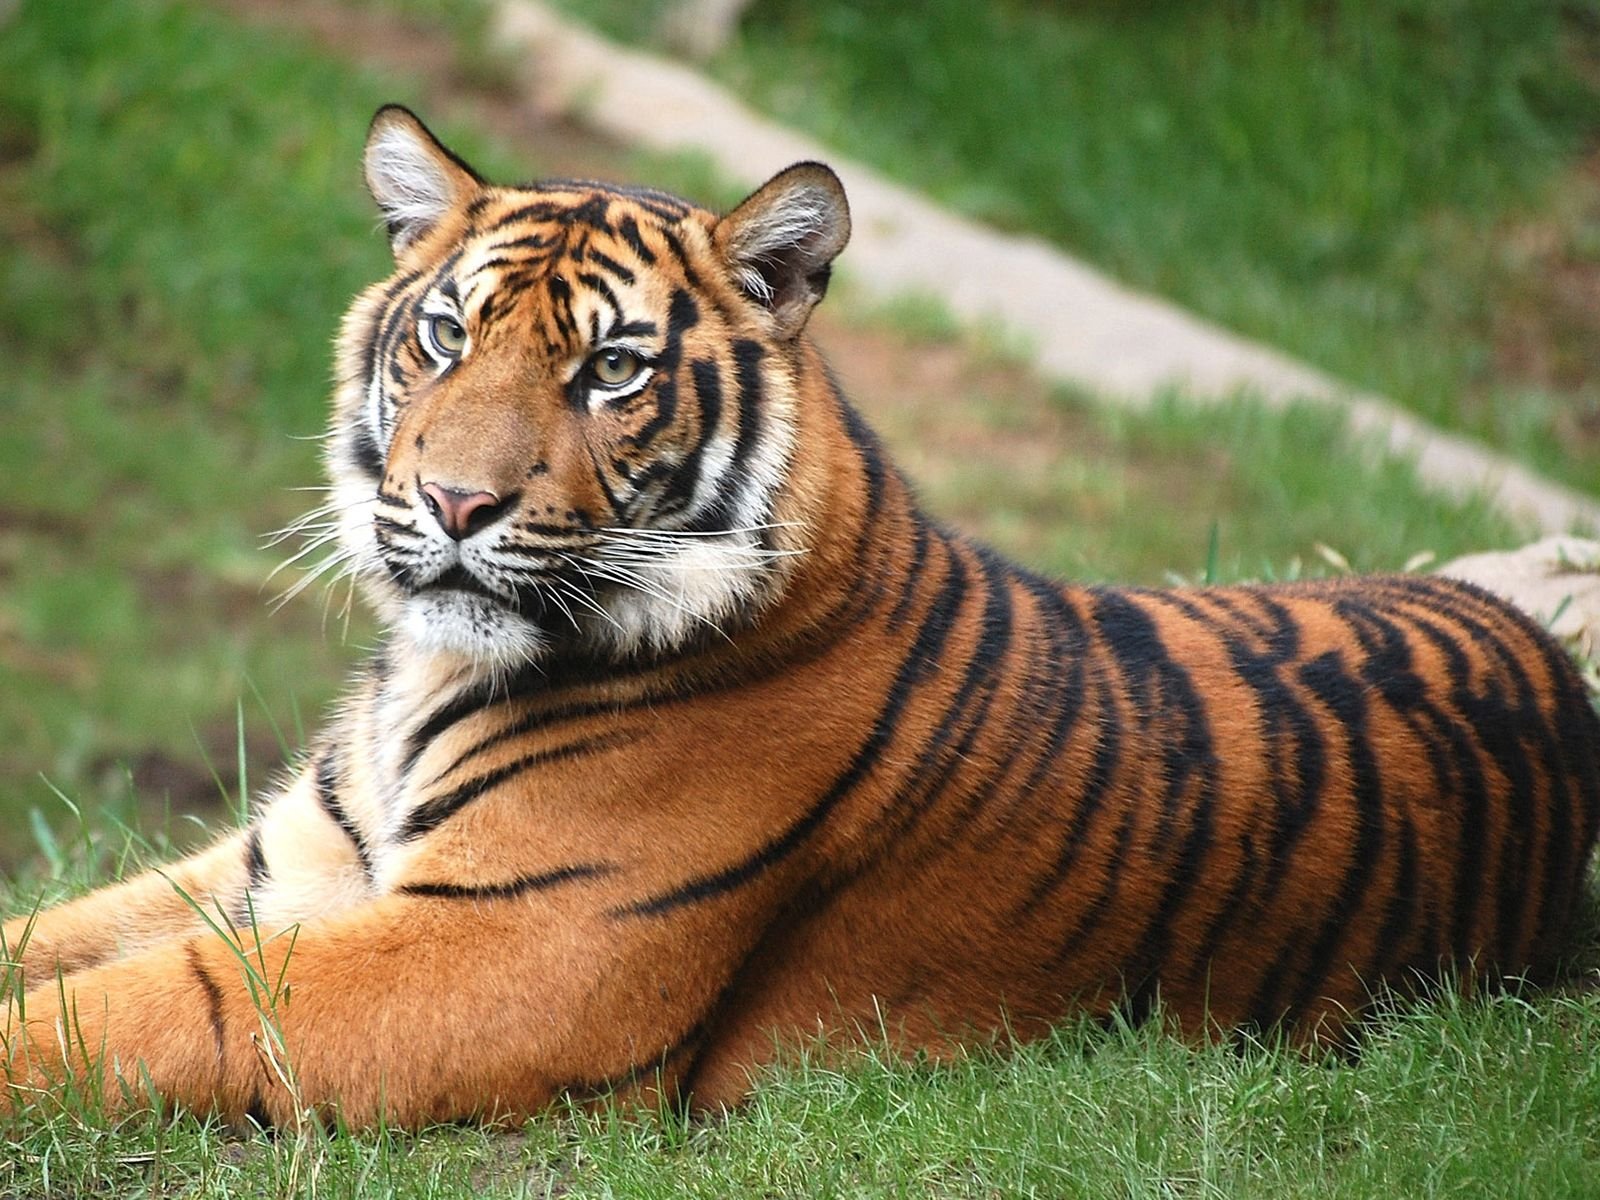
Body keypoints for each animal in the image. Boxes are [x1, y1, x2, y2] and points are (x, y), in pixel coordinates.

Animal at [3, 105, 1598, 1131]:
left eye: (611, 370)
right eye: (445, 337)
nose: (453, 503)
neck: (432, 676)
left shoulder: (509, 954)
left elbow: (151, 1010)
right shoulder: (279, 868)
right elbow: (53, 935)